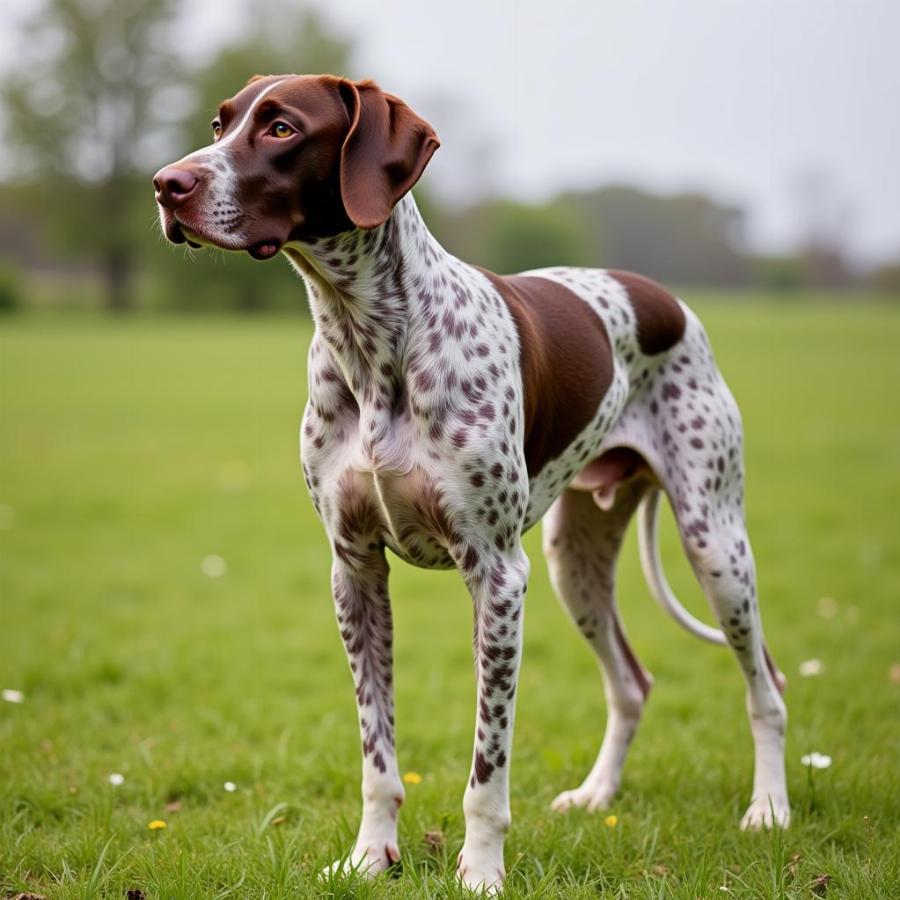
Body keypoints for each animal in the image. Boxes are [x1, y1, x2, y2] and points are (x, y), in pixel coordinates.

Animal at [155, 74, 788, 888]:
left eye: (283, 128)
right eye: (219, 124)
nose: (166, 184)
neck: (368, 339)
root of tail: (666, 298)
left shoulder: (495, 576)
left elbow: (487, 769)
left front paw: (481, 873)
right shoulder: (354, 571)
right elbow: (378, 757)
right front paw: (369, 857)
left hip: (715, 545)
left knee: (765, 687)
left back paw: (768, 809)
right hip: (575, 560)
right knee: (630, 683)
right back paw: (596, 795)